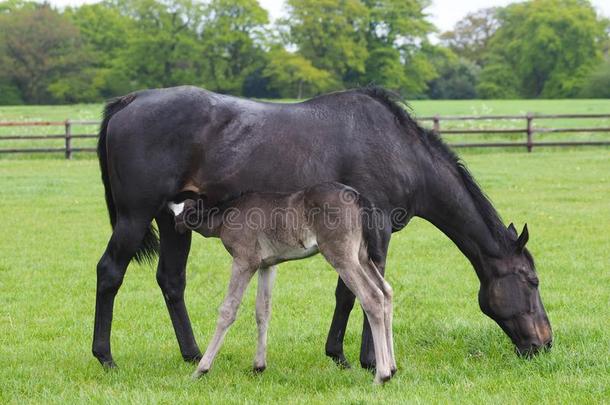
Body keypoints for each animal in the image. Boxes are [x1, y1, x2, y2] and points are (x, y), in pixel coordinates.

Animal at [169, 181, 394, 384]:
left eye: (186, 209)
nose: (176, 226)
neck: (226, 215)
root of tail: (357, 196)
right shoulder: (267, 265)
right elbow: (262, 310)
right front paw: (258, 366)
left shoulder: (245, 261)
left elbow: (228, 310)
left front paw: (201, 369)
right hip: (362, 256)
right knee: (386, 292)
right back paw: (392, 368)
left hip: (342, 256)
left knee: (372, 296)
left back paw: (381, 375)